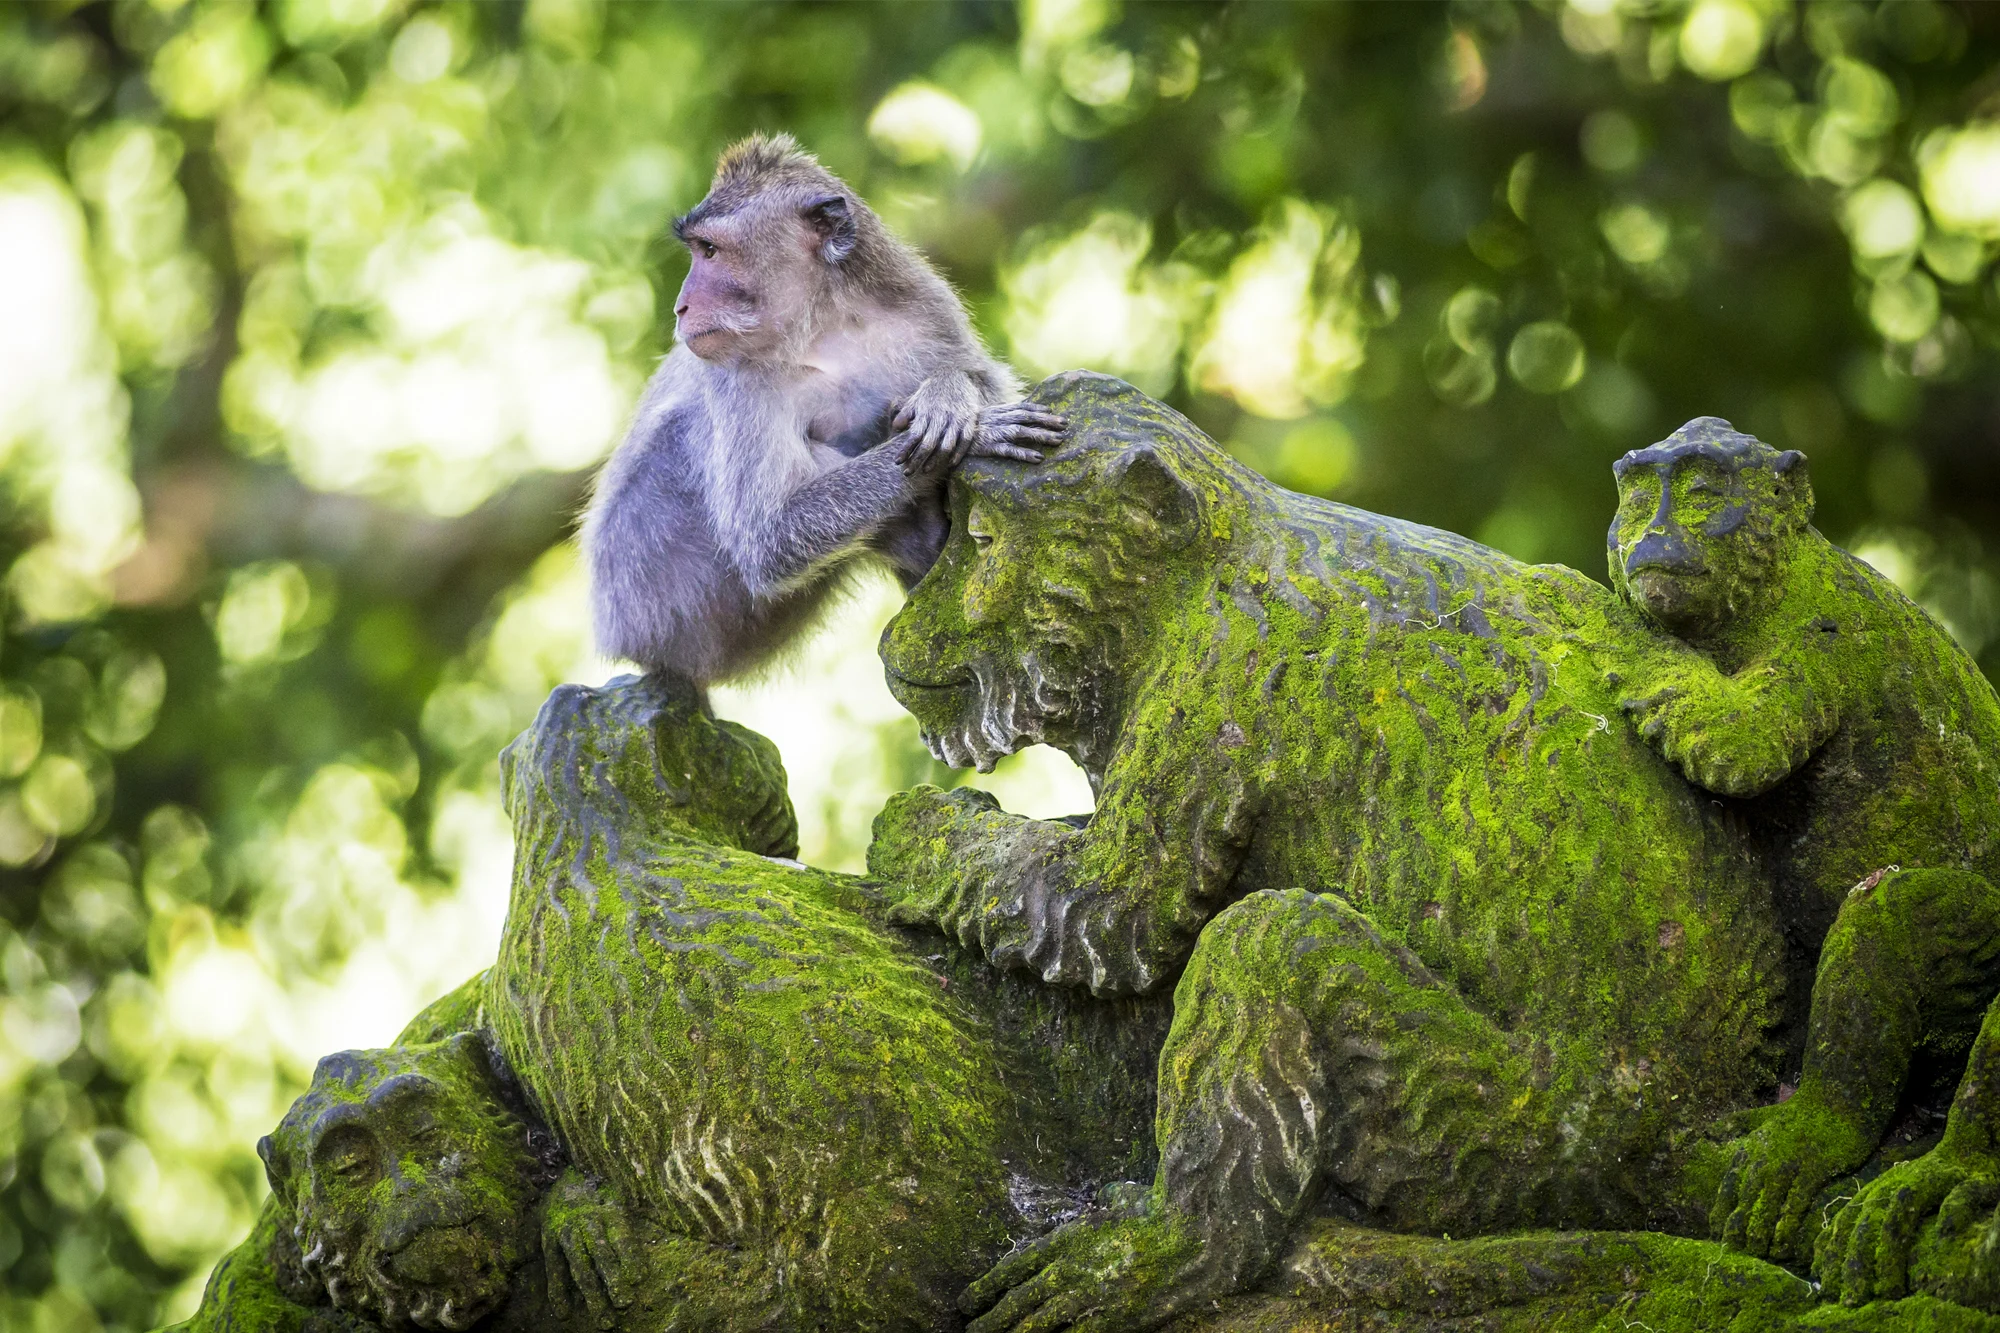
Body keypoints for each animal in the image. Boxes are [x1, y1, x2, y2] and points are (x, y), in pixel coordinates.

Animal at [580, 132, 1064, 684]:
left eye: (709, 250)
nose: (681, 307)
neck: (823, 323)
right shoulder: (734, 377)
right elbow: (768, 537)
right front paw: (982, 430)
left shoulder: (923, 305)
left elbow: (985, 376)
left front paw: (948, 396)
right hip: (656, 591)